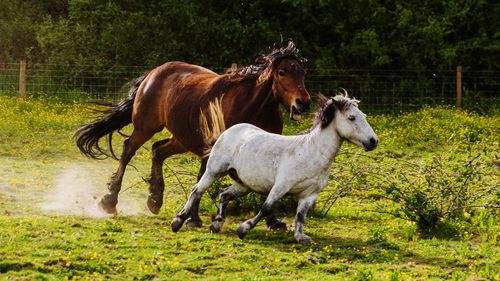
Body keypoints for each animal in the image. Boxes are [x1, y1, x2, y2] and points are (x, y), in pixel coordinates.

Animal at [75, 40, 308, 226]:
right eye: (282, 72)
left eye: (302, 73)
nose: (303, 102)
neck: (252, 106)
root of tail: (154, 73)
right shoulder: (214, 148)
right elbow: (202, 179)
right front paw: (193, 218)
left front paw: (273, 220)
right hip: (146, 127)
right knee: (128, 151)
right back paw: (110, 201)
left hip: (182, 139)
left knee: (158, 151)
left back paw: (154, 199)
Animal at [172, 92, 378, 243]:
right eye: (352, 117)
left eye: (363, 116)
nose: (373, 141)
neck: (310, 153)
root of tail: (230, 130)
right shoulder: (281, 186)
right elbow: (266, 208)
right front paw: (243, 229)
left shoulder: (309, 194)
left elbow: (301, 215)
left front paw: (300, 237)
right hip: (214, 171)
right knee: (196, 191)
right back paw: (178, 222)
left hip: (244, 184)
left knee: (224, 195)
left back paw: (216, 225)